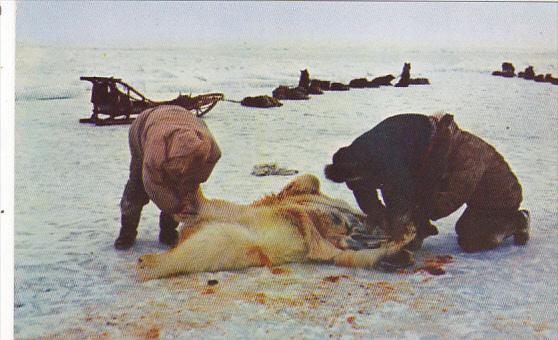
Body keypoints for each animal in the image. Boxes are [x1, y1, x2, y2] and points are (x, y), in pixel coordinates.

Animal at [137, 174, 416, 280]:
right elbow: (303, 191)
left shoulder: (332, 245)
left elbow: (348, 255)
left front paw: (402, 246)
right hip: (228, 217)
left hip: (231, 239)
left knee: (205, 246)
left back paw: (148, 262)